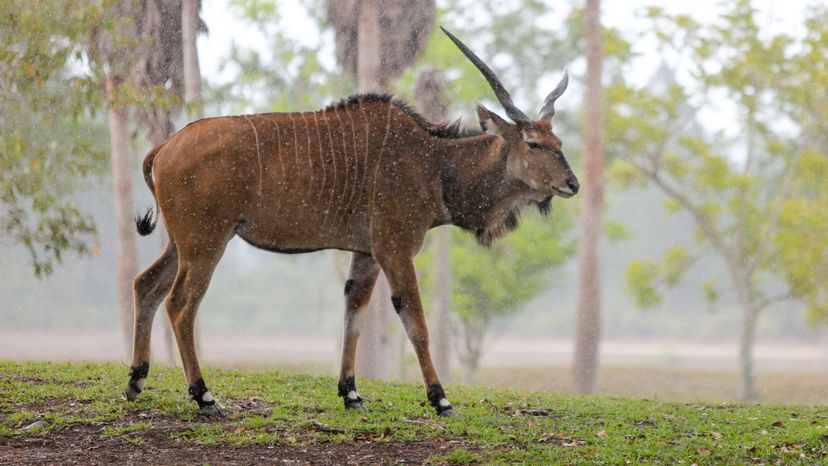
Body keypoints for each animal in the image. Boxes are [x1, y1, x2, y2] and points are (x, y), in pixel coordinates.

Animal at [124, 27, 576, 416]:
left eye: (558, 142)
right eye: (533, 143)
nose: (572, 183)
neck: (433, 161)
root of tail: (164, 148)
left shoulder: (367, 254)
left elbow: (354, 314)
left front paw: (351, 393)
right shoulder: (396, 248)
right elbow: (415, 320)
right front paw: (440, 398)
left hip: (181, 243)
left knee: (146, 285)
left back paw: (136, 381)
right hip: (206, 244)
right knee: (181, 304)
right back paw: (203, 395)